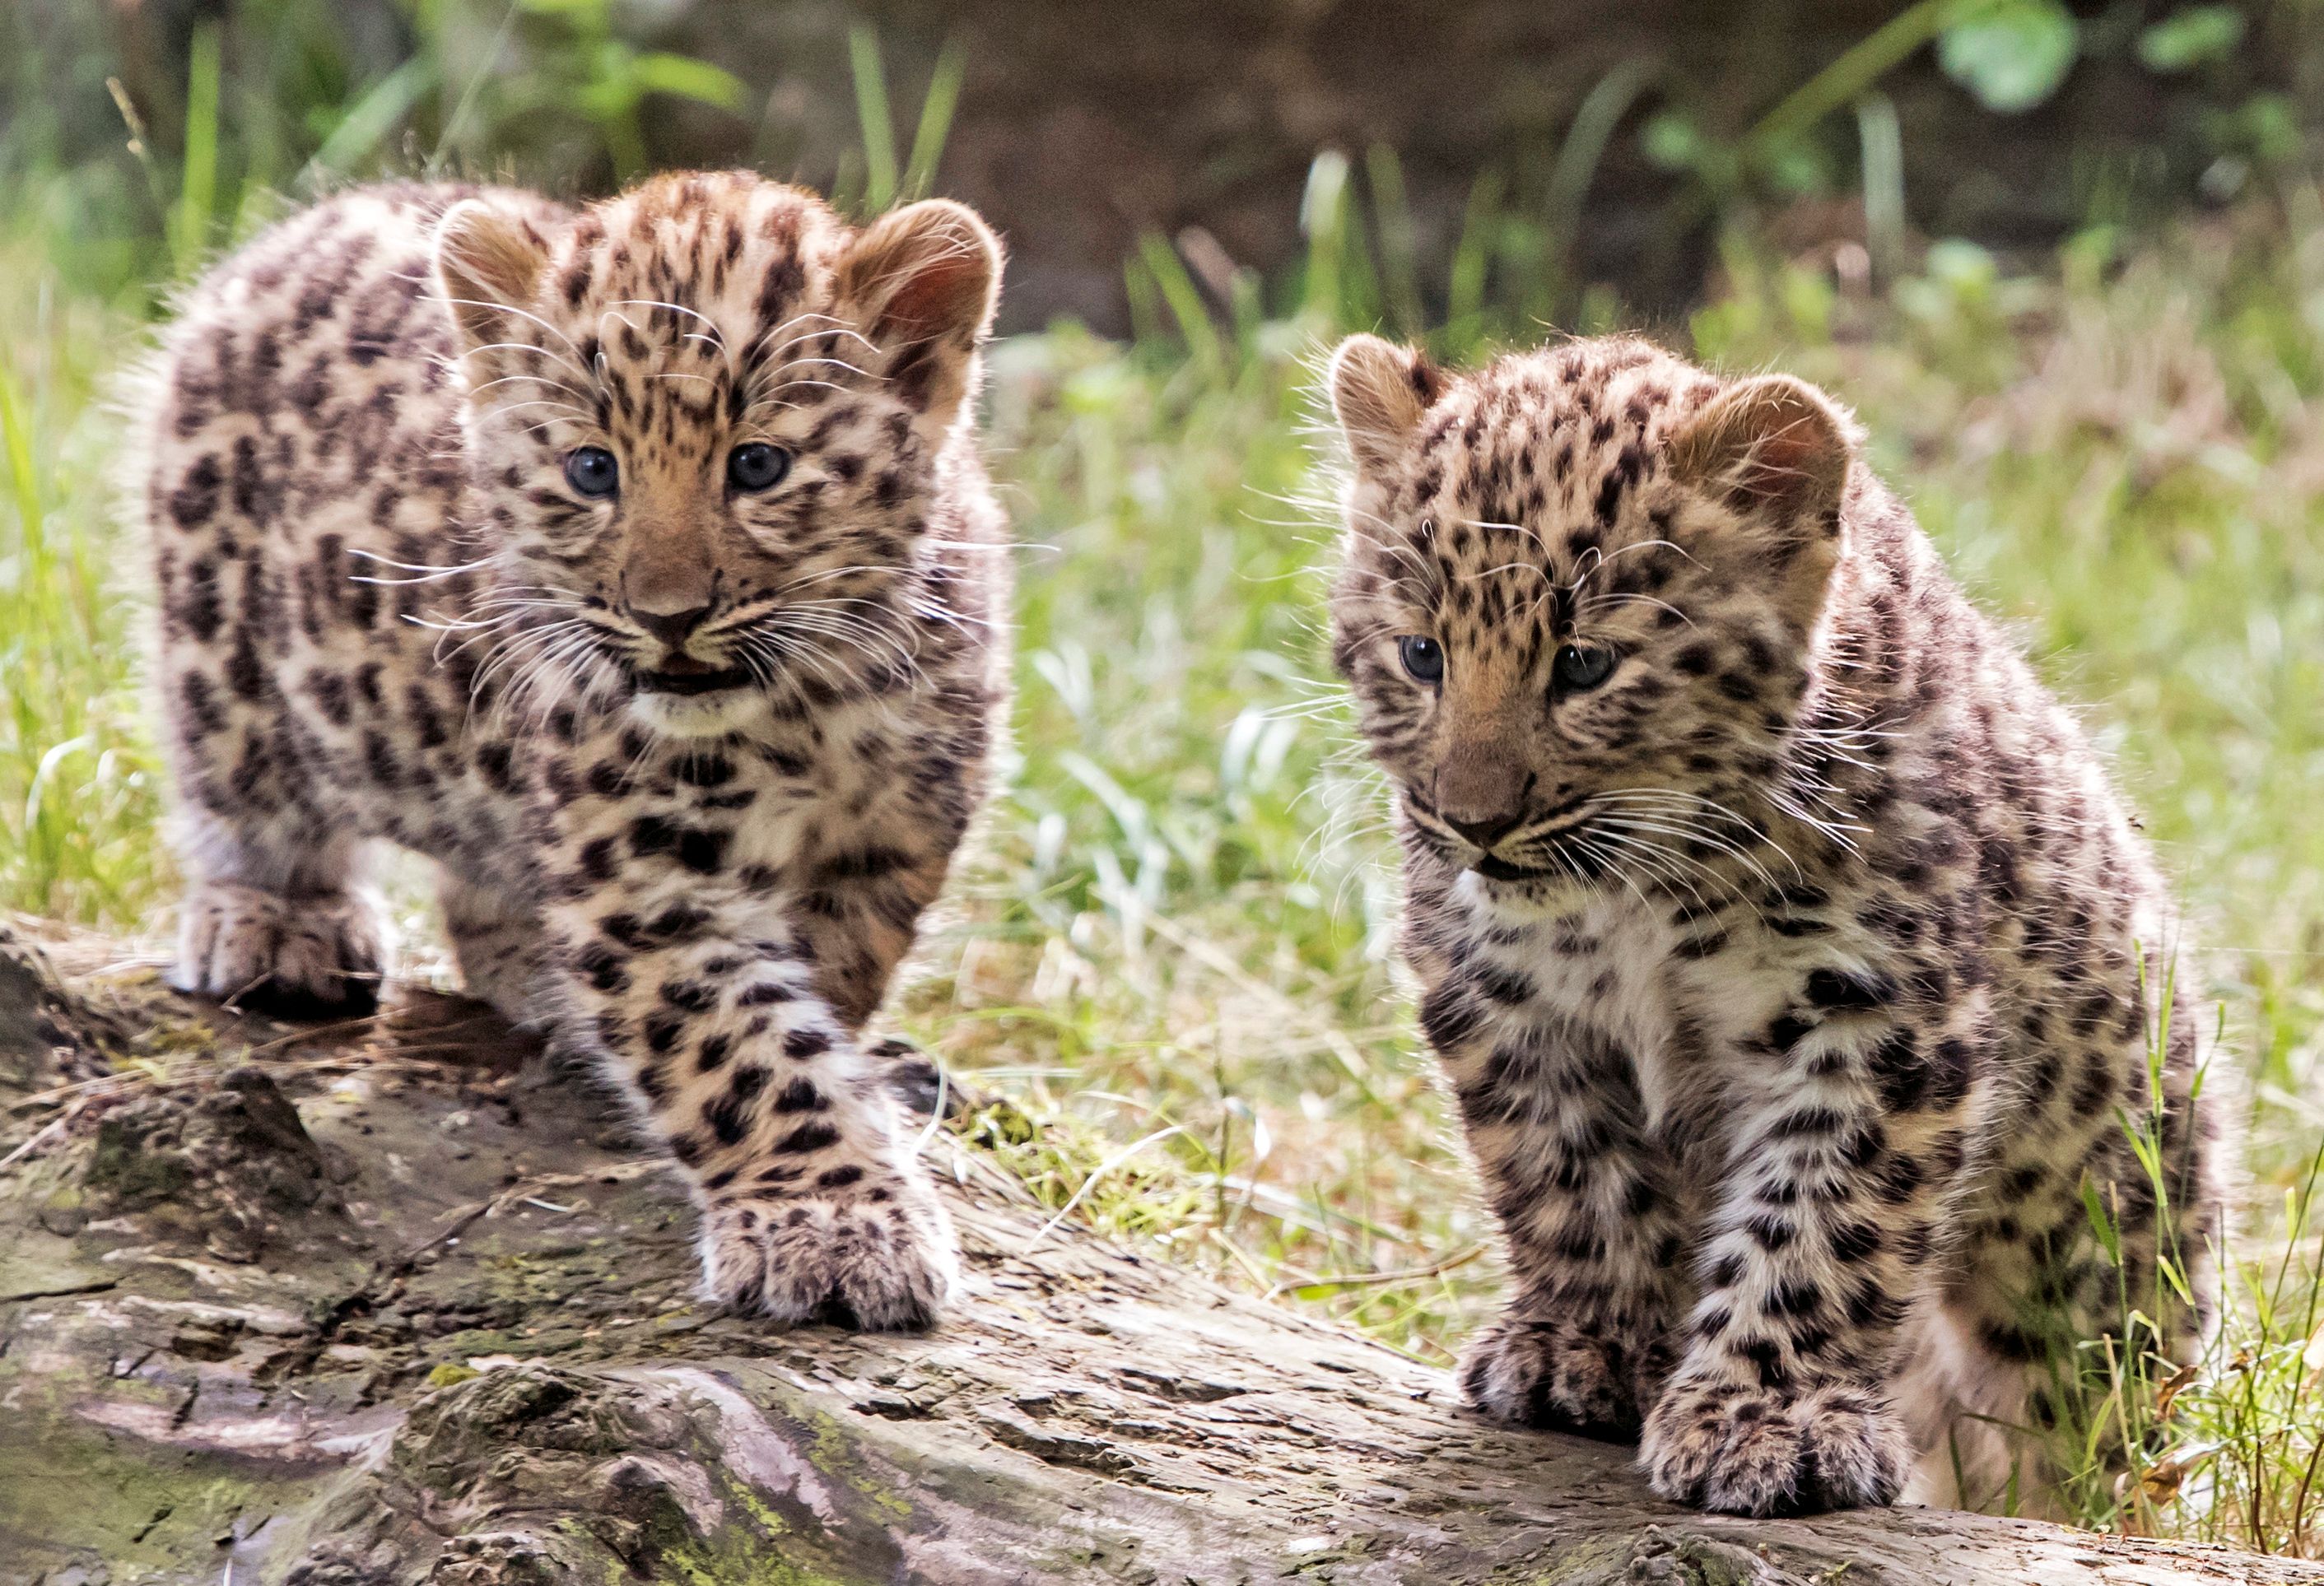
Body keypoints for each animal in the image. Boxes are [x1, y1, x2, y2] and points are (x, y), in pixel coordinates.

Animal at [128, 171, 1011, 1330]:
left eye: (759, 465)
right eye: (592, 470)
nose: (668, 616)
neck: (814, 701)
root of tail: (307, 223)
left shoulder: (892, 841)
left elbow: (824, 988)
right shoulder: (647, 884)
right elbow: (743, 1052)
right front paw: (830, 1220)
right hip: (221, 637)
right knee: (242, 790)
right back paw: (274, 924)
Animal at [1322, 330, 2224, 1516]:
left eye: (1583, 664)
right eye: (1420, 655)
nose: (1473, 822)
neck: (1635, 901)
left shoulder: (1877, 1019)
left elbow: (1818, 1225)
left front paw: (1766, 1417)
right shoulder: (1500, 992)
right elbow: (1564, 1175)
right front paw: (1582, 1345)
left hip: (2105, 1256)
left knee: (2075, 1425)